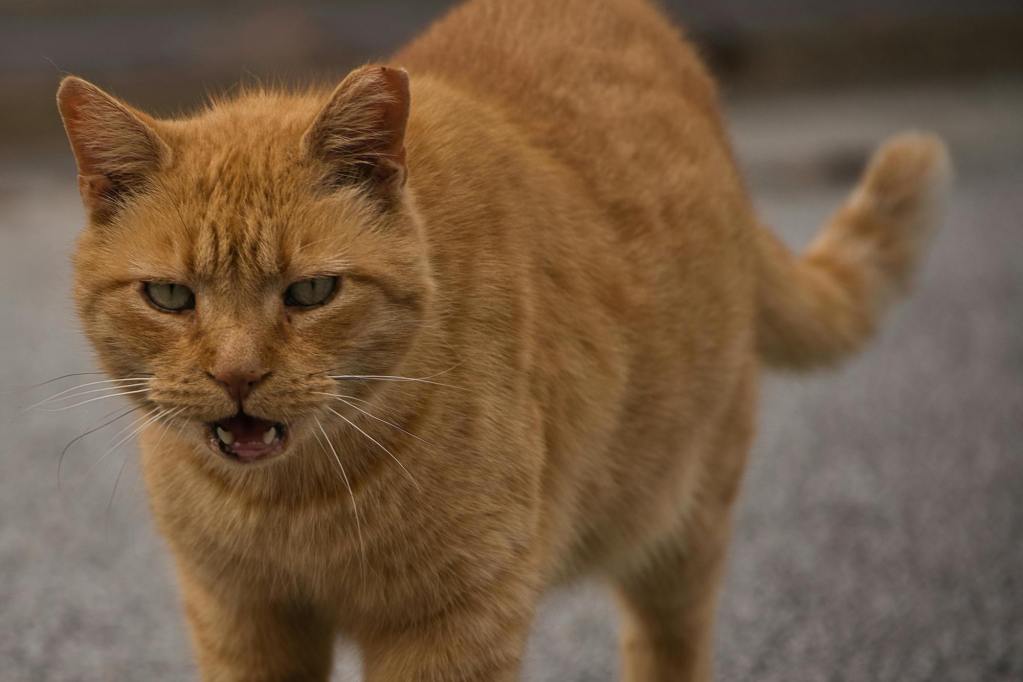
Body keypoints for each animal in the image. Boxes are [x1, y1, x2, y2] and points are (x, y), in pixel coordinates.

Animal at [56, 0, 949, 678]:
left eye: (310, 292)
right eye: (171, 297)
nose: (237, 373)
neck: (292, 506)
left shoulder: (455, 623)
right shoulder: (239, 616)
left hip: (680, 519)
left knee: (670, 641)